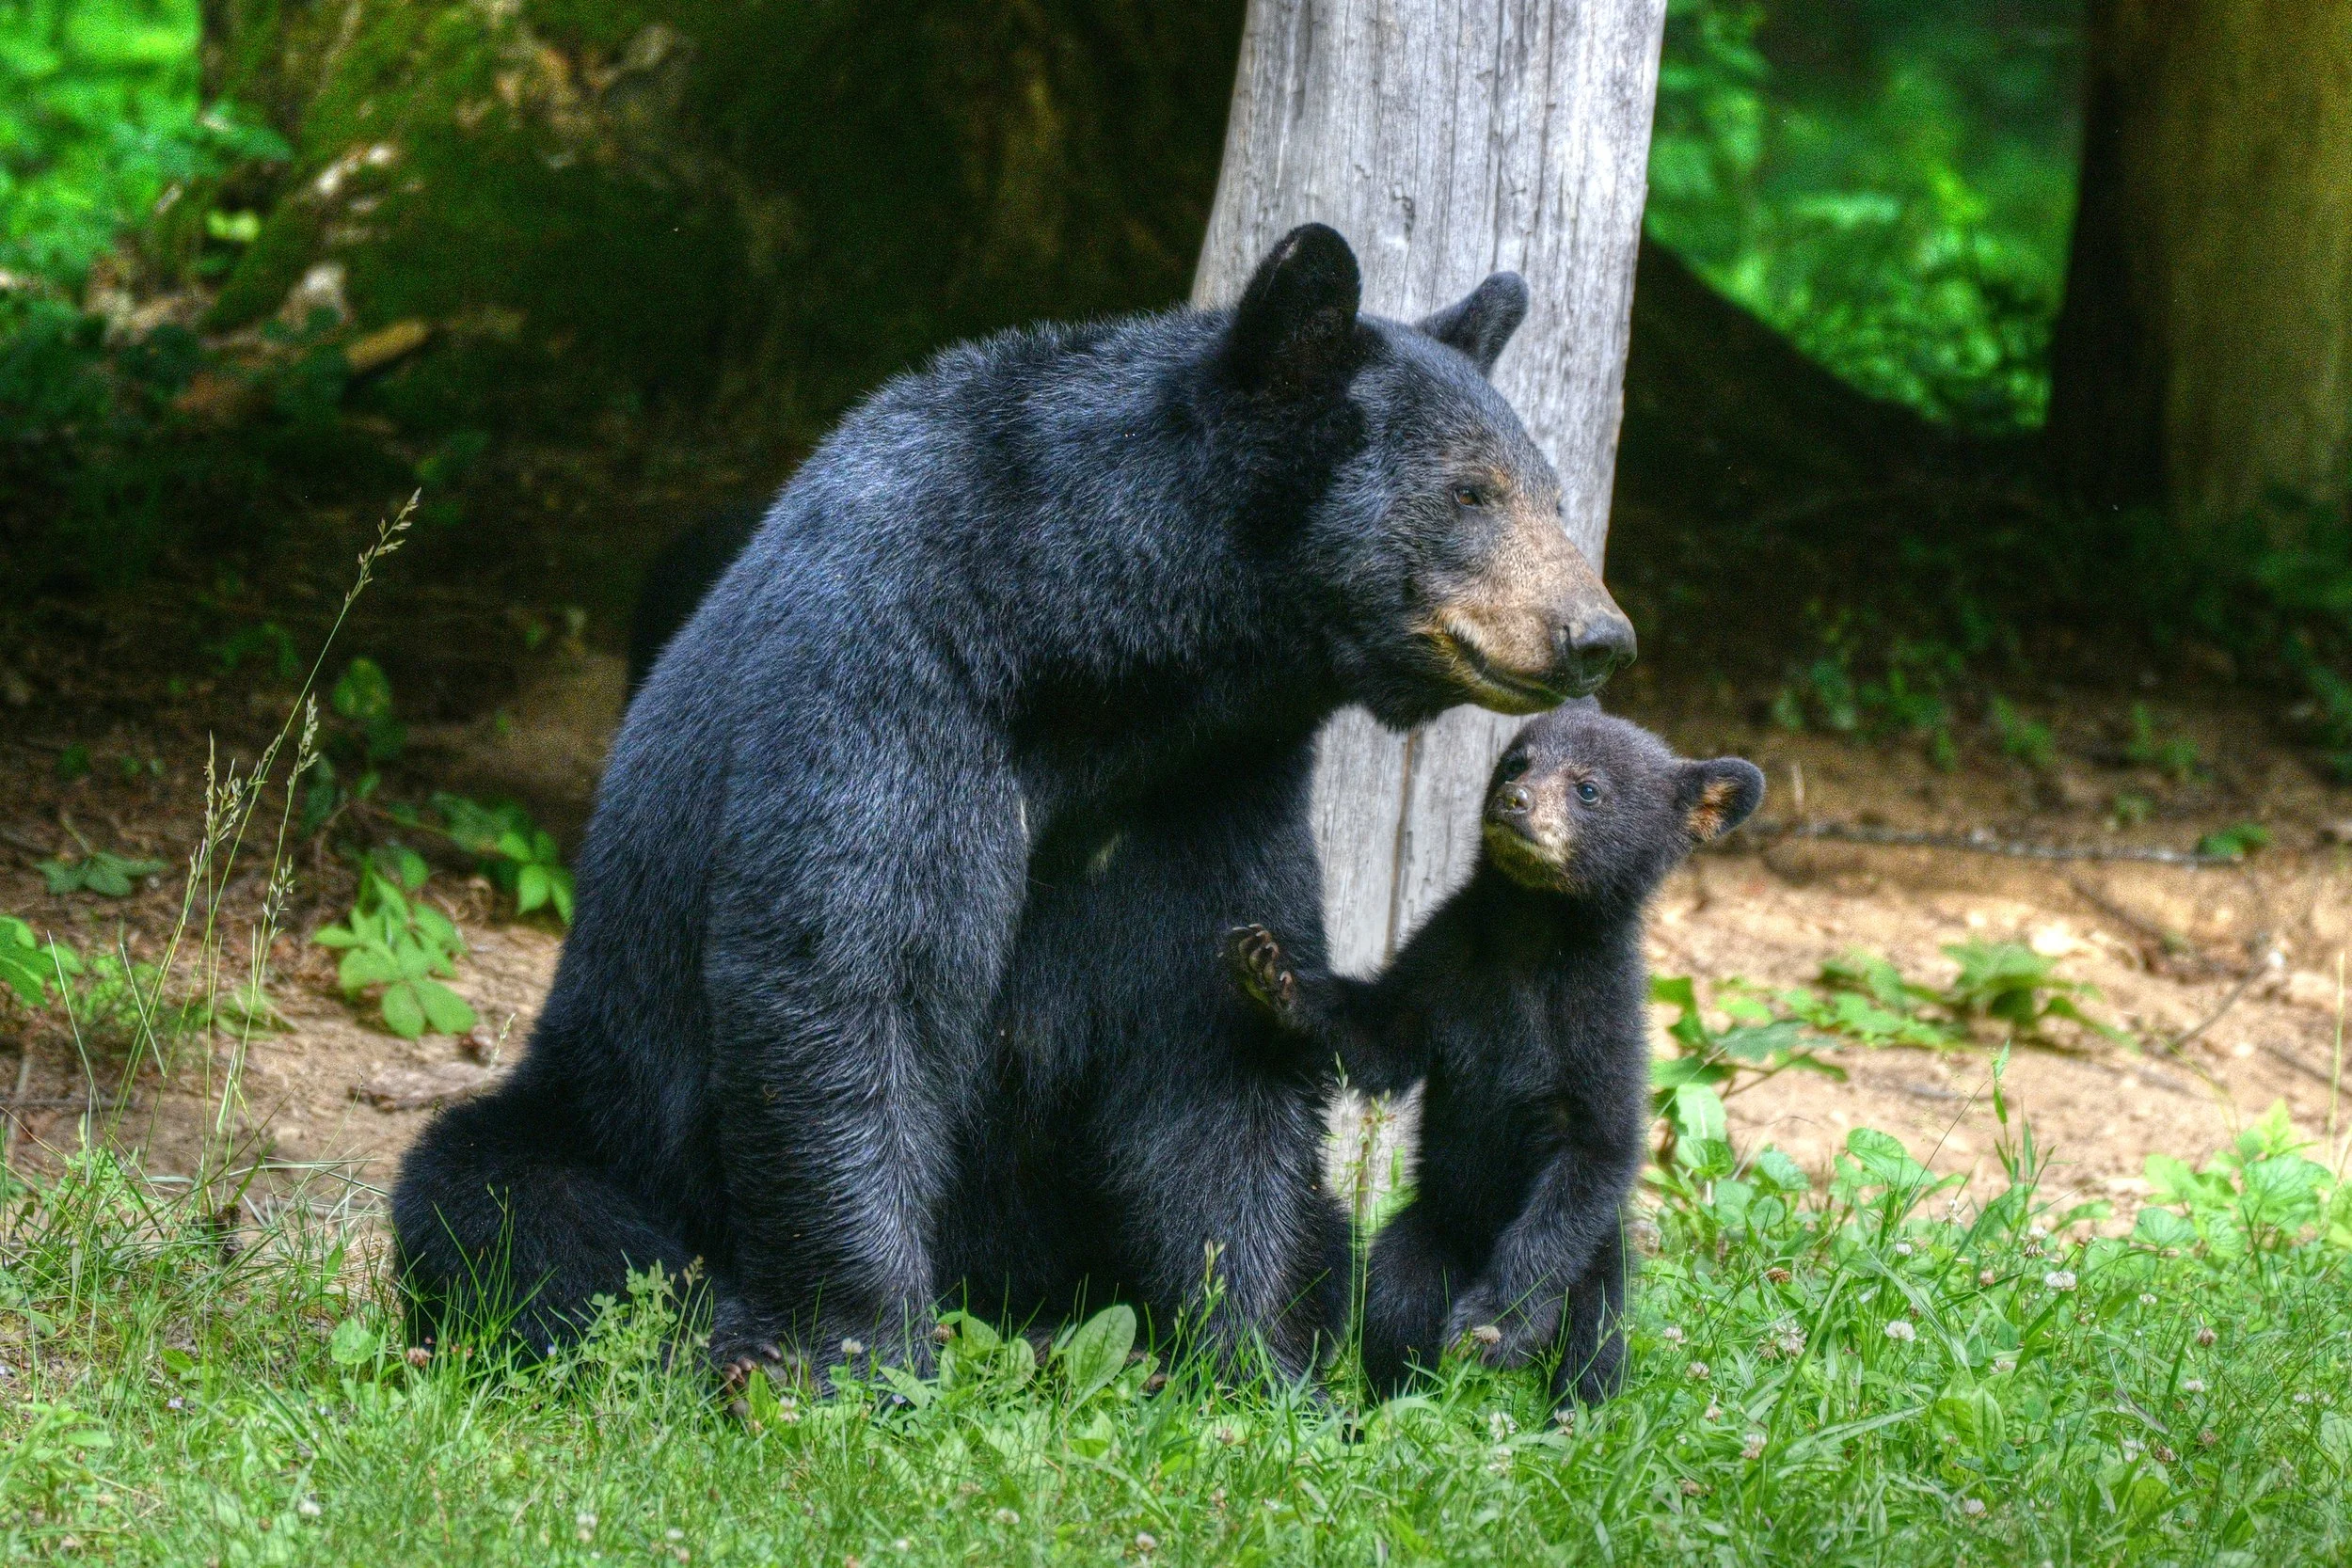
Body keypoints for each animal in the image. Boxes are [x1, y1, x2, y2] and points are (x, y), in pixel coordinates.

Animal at [392, 222, 1637, 1388]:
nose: (1597, 634)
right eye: (1470, 491)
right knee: (517, 1212)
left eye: (1555, 493)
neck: (1095, 661)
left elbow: (1213, 1044)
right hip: (606, 1101)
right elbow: (851, 978)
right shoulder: (894, 676)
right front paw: (867, 1353)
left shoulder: (1212, 786)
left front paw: (1260, 1364)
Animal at [1226, 703, 1762, 1404]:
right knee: (1396, 1300)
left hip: (1600, 1259)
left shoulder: (1601, 1021)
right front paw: (1273, 970)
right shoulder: (1446, 960)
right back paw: (1391, 1401)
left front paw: (1495, 1325)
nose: (1516, 801)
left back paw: (1573, 1407)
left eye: (1589, 789)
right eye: (1516, 761)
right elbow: (1381, 1037)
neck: (1529, 931)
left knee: (1595, 1337)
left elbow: (1594, 1149)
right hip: (1427, 1229)